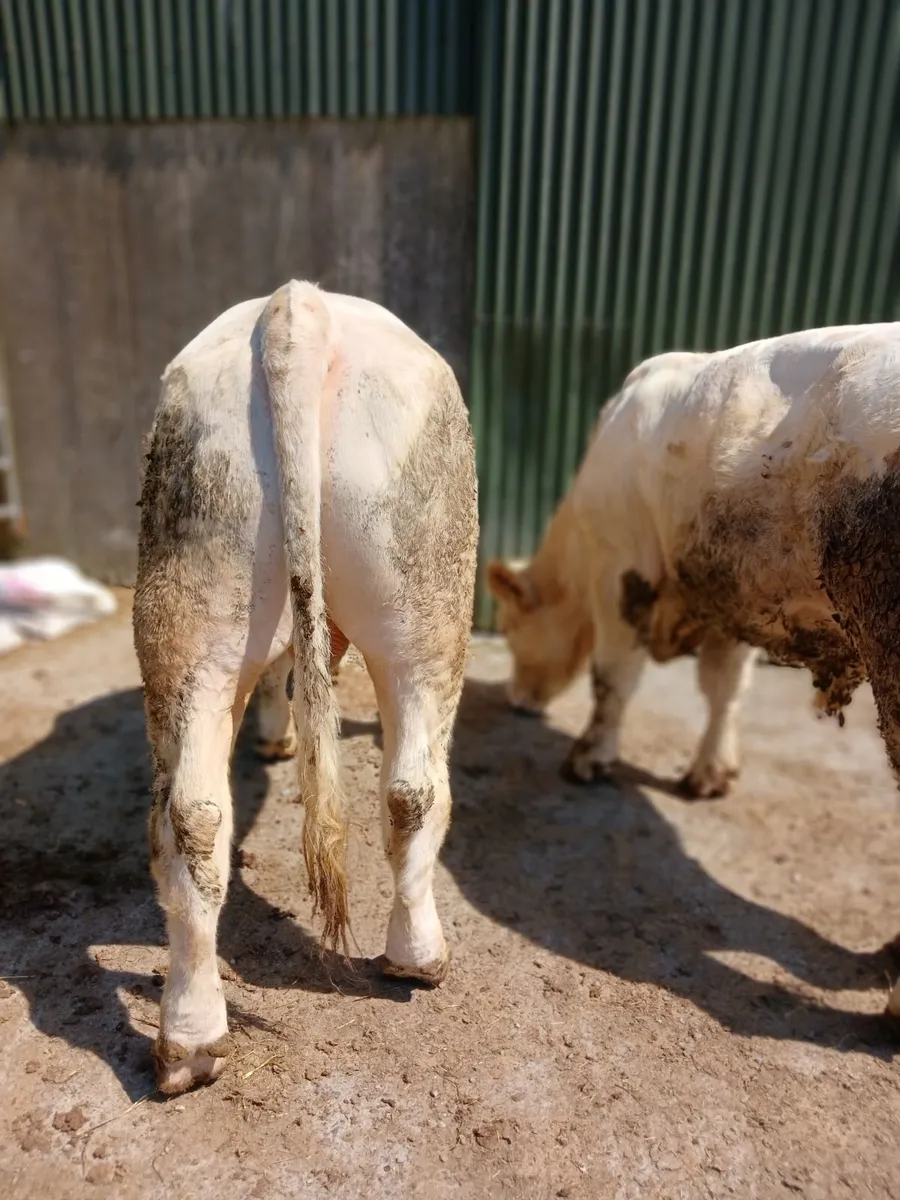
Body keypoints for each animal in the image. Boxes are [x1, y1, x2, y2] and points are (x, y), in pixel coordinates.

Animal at [133, 280, 478, 1094]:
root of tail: (298, 308)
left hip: (194, 588)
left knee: (194, 817)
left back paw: (190, 1042)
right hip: (434, 593)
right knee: (416, 788)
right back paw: (418, 958)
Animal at [487, 325, 900, 1016]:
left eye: (513, 626)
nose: (517, 699)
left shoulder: (622, 570)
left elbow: (614, 678)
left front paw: (590, 757)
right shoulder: (732, 596)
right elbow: (724, 690)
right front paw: (712, 772)